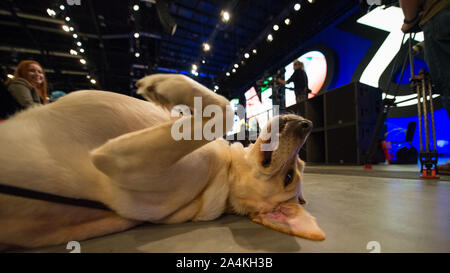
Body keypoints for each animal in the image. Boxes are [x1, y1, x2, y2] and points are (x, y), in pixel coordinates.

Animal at [0, 73, 324, 248]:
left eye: (288, 177)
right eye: (299, 167)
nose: (307, 124)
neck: (223, 177)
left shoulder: (119, 161)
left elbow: (225, 110)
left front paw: (165, 85)